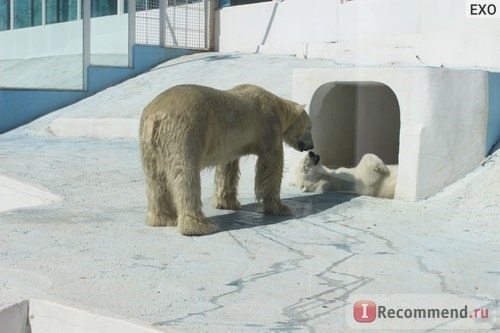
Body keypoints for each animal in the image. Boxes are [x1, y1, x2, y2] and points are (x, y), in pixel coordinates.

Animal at [139, 84, 312, 235]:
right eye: (310, 126)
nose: (312, 145)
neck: (278, 106)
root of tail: (156, 116)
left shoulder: (228, 143)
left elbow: (227, 167)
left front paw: (227, 203)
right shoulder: (269, 126)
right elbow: (271, 165)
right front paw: (280, 208)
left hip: (149, 146)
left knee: (156, 179)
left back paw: (163, 219)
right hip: (184, 133)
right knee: (186, 176)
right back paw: (199, 226)